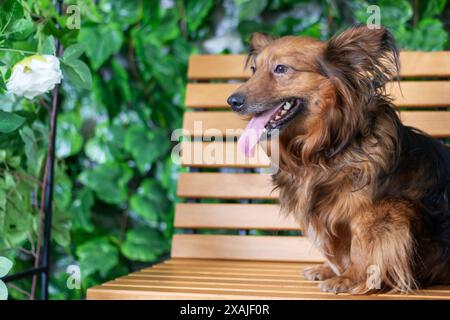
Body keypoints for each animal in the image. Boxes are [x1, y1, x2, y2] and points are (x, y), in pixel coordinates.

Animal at [229, 26, 450, 294]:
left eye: (281, 68)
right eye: (254, 70)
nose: (232, 101)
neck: (323, 149)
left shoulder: (382, 212)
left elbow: (361, 245)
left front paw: (350, 278)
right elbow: (339, 246)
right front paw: (331, 270)